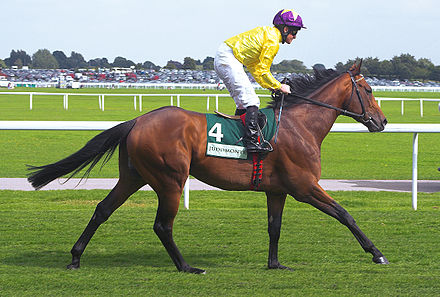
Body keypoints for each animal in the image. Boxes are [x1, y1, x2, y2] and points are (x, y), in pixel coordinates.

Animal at [28, 60, 388, 272]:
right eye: (369, 89)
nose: (382, 121)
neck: (299, 125)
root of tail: (137, 120)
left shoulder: (278, 190)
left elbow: (274, 227)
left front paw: (274, 264)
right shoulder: (305, 186)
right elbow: (345, 215)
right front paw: (376, 253)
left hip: (133, 176)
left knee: (102, 209)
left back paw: (76, 257)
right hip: (170, 179)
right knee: (162, 225)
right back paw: (186, 266)